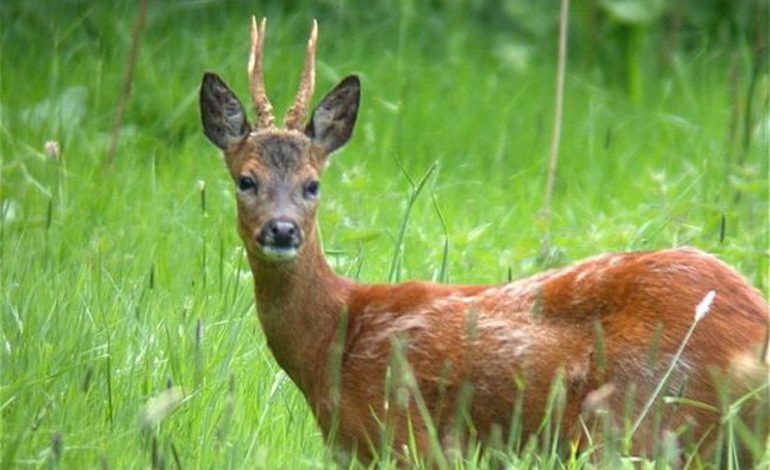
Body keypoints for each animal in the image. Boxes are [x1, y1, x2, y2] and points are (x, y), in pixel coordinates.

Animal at [200, 16, 768, 464]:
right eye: (246, 180)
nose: (281, 229)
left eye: (312, 184)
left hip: (636, 422)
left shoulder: (405, 436)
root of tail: (755, 331)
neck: (335, 340)